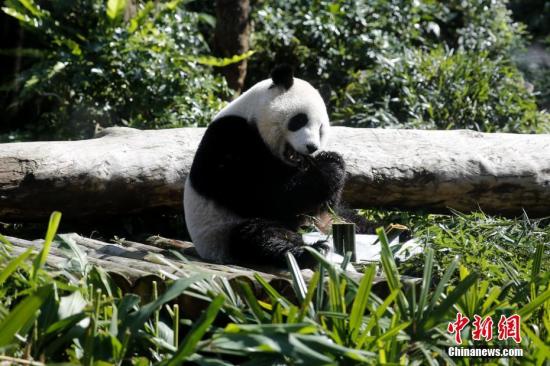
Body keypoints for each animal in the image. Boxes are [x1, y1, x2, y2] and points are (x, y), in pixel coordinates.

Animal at [185, 65, 350, 268]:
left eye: (321, 128)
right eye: (299, 120)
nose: (312, 147)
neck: (252, 115)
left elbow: (313, 206)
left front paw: (334, 161)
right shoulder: (231, 139)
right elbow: (267, 196)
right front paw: (329, 167)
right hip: (221, 232)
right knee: (258, 235)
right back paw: (309, 252)